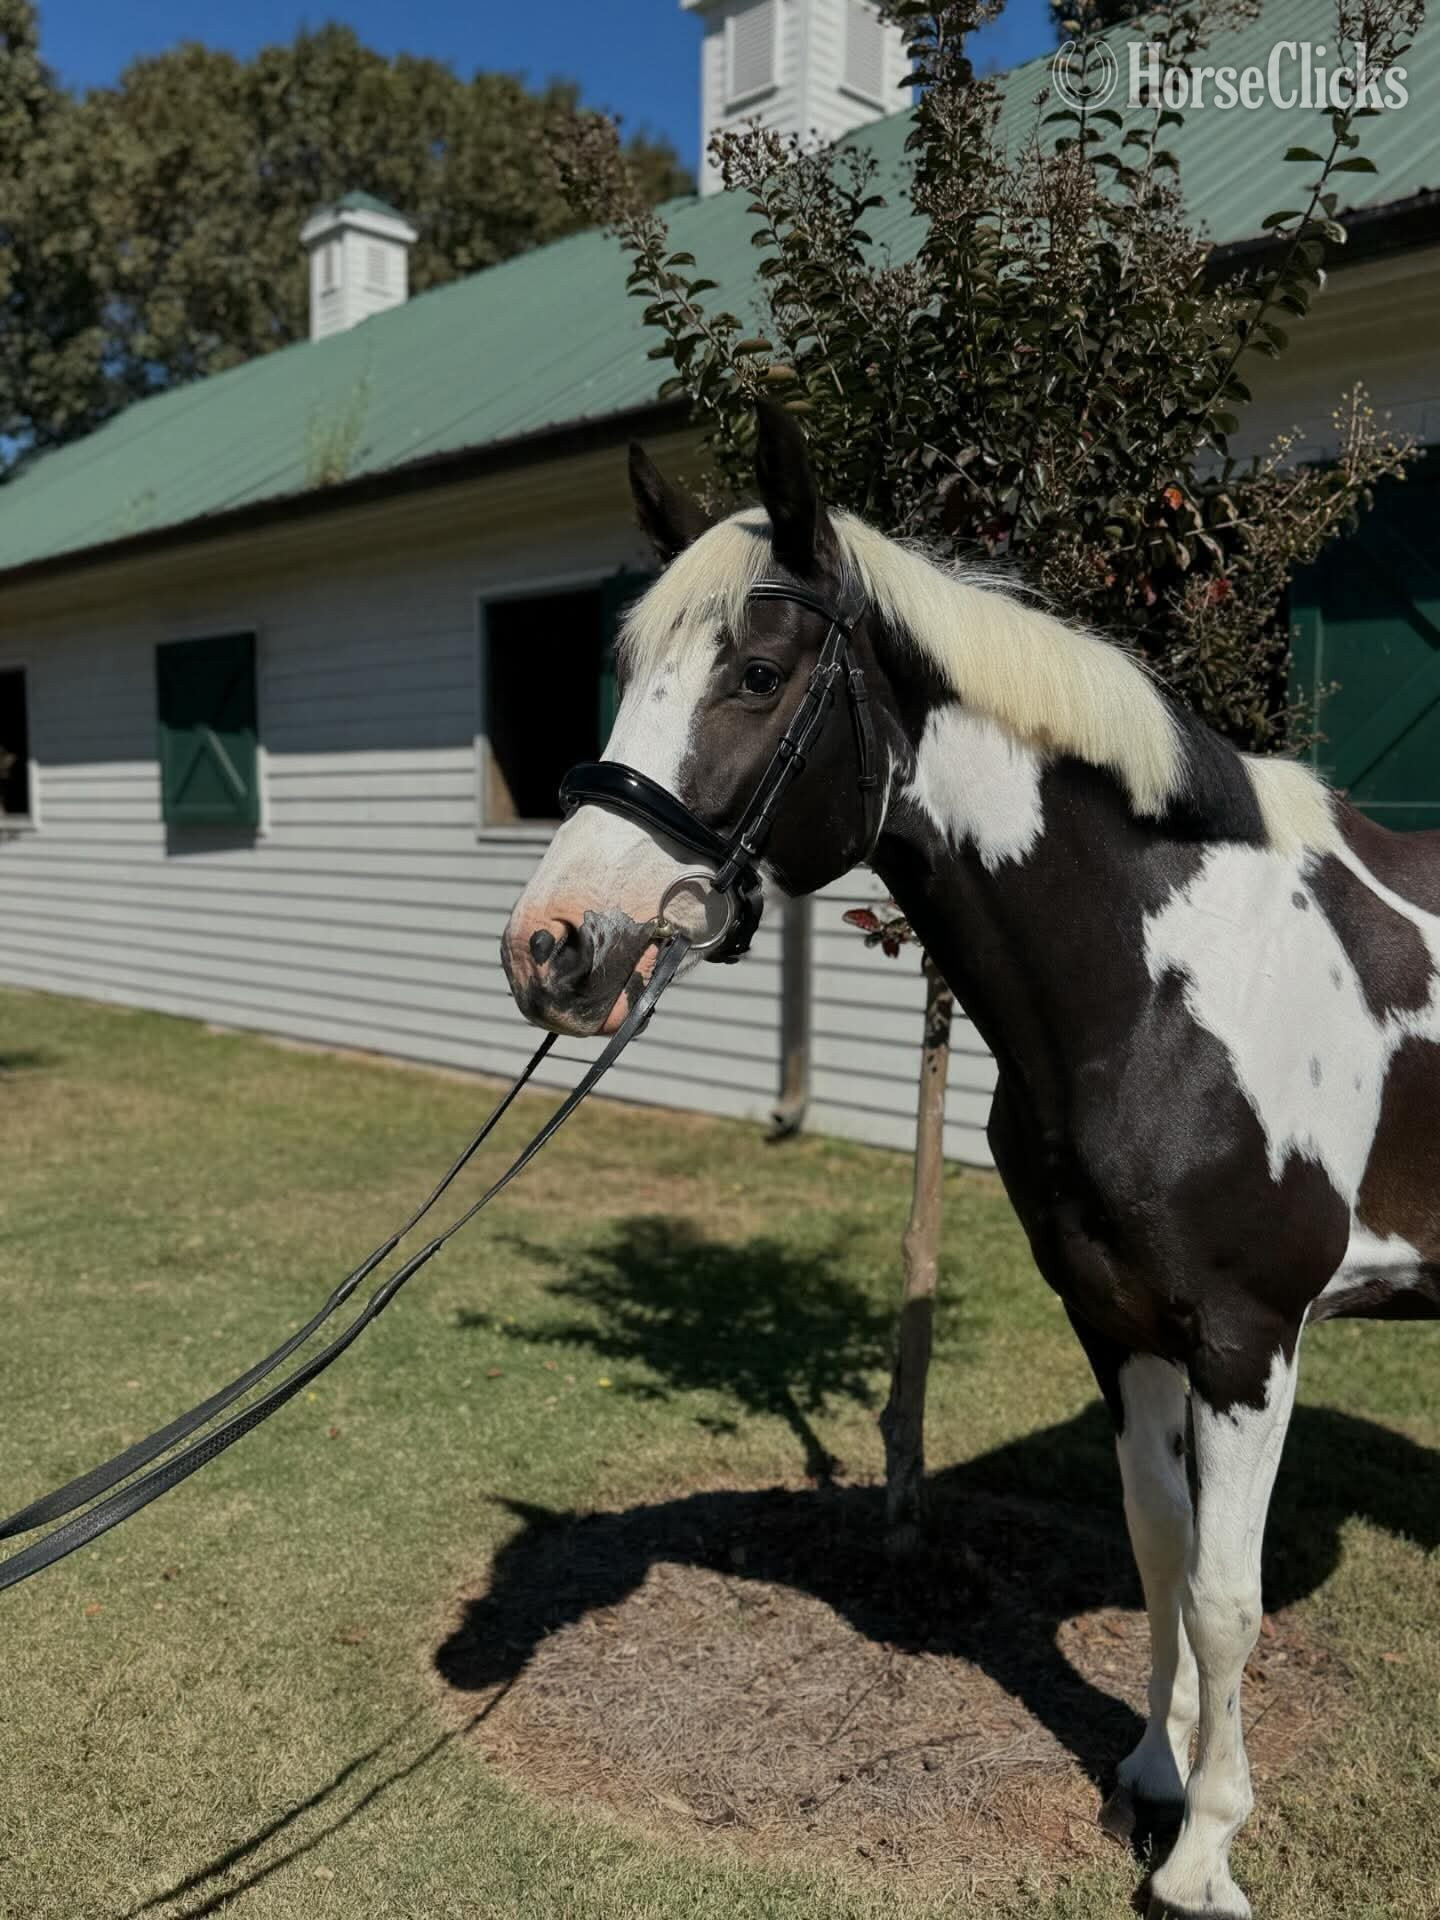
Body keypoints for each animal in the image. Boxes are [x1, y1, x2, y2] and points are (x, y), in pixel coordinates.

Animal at [500, 402, 1440, 1920]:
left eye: (757, 672)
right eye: (627, 671)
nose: (553, 946)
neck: (1167, 982)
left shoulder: (1249, 1341)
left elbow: (1226, 1595)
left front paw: (1205, 1854)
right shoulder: (1119, 1324)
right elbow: (1160, 1549)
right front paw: (1153, 1777)